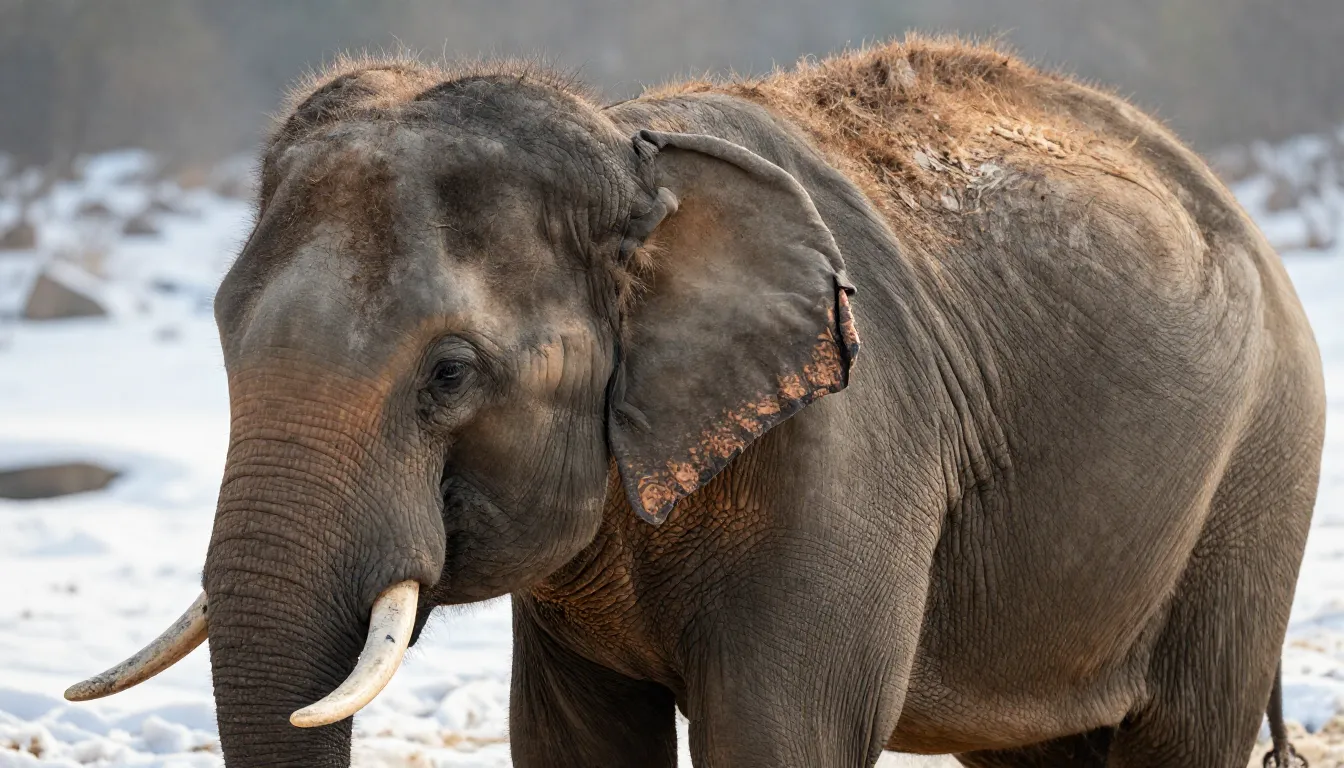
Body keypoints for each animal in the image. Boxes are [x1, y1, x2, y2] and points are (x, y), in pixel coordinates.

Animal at [67, 37, 1325, 768]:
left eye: (449, 374)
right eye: (223, 337)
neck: (634, 148)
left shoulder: (845, 443)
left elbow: (780, 732)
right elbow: (571, 743)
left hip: (1261, 474)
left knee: (1182, 731)